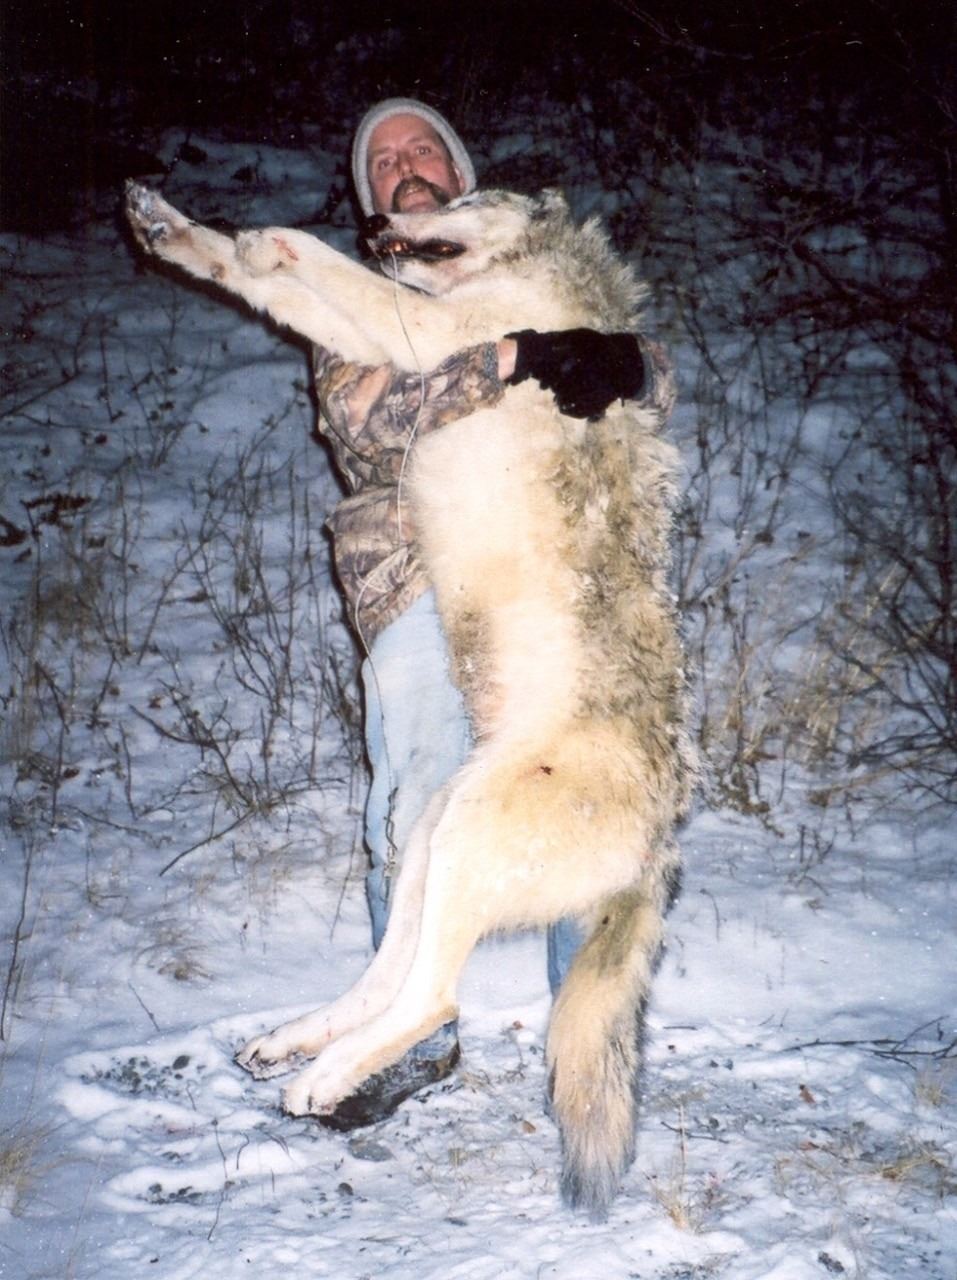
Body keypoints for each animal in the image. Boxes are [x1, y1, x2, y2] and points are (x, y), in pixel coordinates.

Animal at [125, 180, 697, 1219]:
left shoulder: (433, 336)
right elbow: (264, 275)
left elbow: (309, 268)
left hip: (465, 839)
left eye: (463, 196)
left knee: (433, 997)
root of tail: (657, 849)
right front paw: (176, 230)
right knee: (390, 982)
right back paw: (297, 1044)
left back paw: (318, 1079)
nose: (379, 222)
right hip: (432, 835)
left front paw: (267, 237)